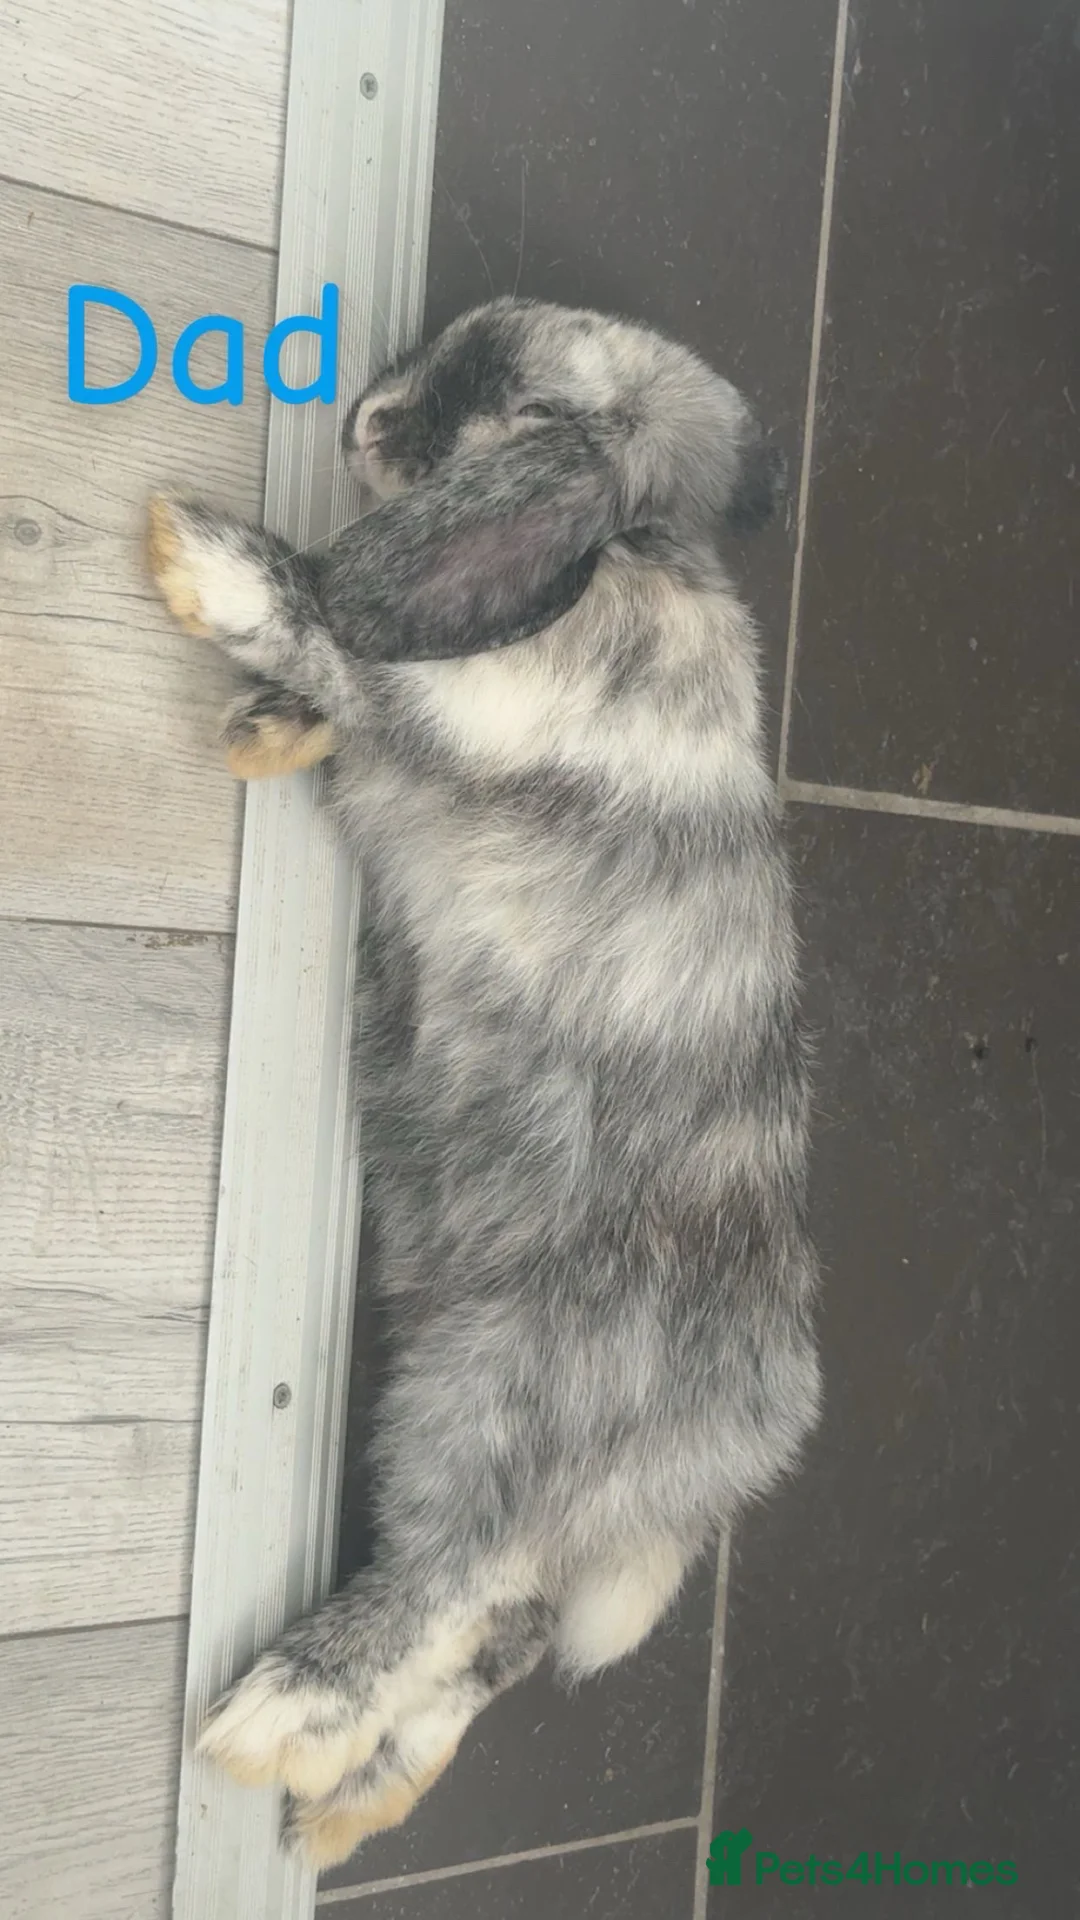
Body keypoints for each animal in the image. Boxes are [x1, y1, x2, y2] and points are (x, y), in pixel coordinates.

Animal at [146, 295, 822, 1871]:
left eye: (510, 399)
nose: (363, 420)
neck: (626, 554)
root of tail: (738, 1450)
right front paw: (266, 729)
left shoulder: (464, 709)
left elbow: (341, 636)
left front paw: (202, 560)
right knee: (498, 1634)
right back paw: (347, 1804)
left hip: (483, 1396)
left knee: (454, 1582)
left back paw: (278, 1722)